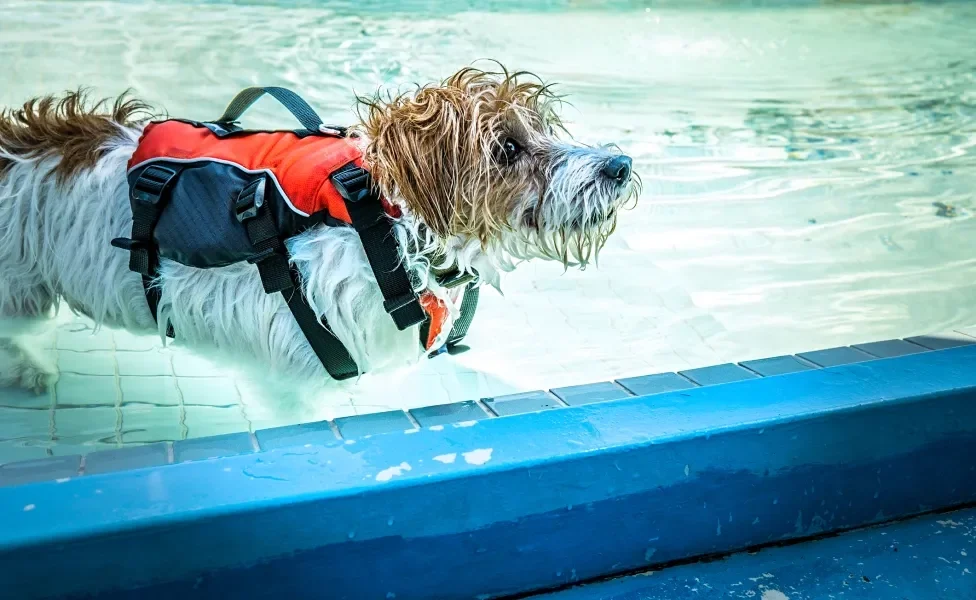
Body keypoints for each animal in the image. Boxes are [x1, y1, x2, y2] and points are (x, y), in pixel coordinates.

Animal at [0, 67, 636, 394]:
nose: (620, 165)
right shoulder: (306, 379)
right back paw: (31, 369)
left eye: (545, 130)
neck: (389, 227)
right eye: (507, 148)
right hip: (20, 287)